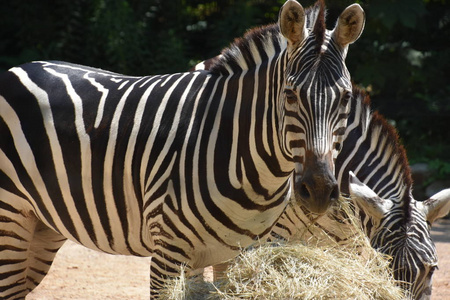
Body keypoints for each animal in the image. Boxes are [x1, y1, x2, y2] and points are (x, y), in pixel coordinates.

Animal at [0, 0, 366, 298]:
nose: (318, 191)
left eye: (346, 97)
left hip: (41, 224)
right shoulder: (168, 255)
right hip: (10, 217)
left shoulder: (239, 254)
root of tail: (17, 68)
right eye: (290, 95)